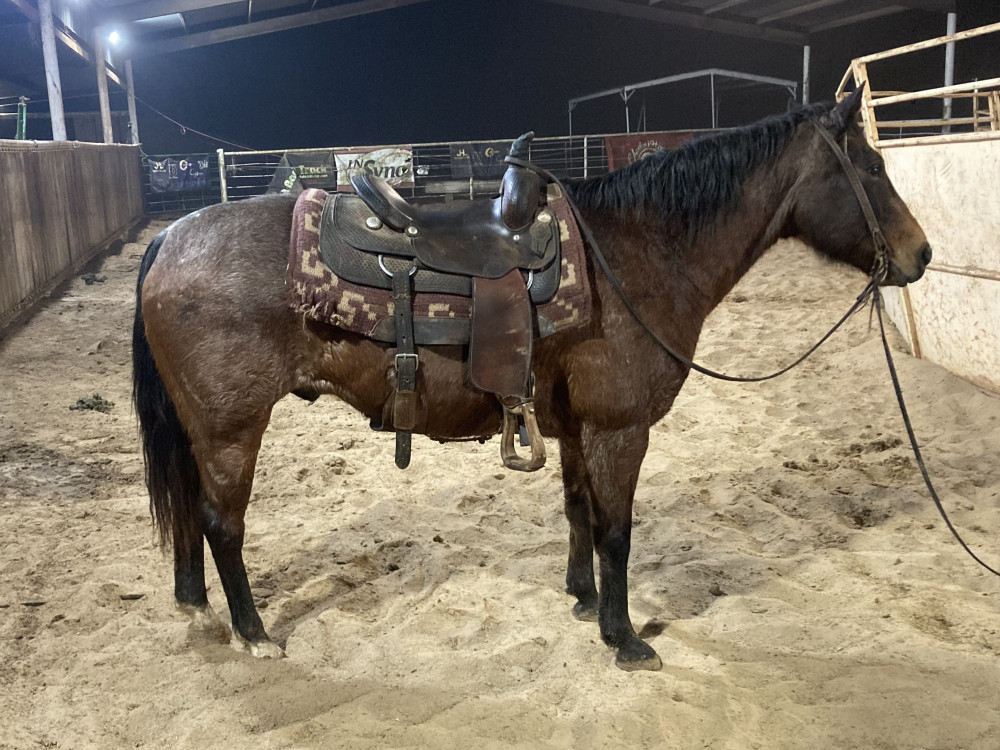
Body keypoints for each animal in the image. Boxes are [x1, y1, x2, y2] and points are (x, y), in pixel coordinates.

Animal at [132, 89, 931, 671]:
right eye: (872, 170)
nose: (921, 254)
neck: (636, 254)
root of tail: (169, 236)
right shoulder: (619, 427)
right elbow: (617, 531)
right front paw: (624, 638)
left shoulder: (576, 426)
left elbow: (578, 511)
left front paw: (581, 600)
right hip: (232, 429)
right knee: (222, 523)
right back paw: (254, 633)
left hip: (200, 430)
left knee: (191, 516)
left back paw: (196, 605)